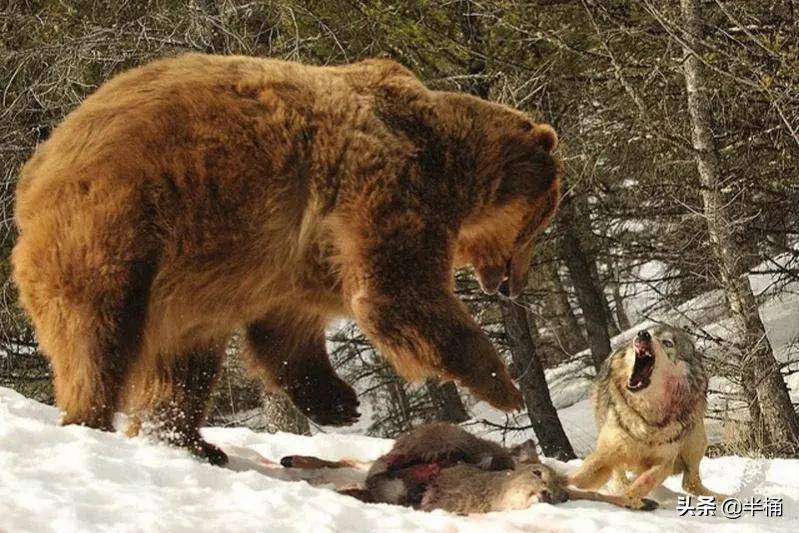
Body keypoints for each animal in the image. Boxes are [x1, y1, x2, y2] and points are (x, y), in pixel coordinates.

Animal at [12, 52, 564, 464]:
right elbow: (398, 294)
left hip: (184, 280)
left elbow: (287, 328)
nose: (511, 284)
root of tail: (33, 174)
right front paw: (504, 385)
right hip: (117, 227)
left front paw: (339, 402)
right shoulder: (385, 187)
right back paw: (93, 420)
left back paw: (190, 441)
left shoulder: (294, 258)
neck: (449, 162)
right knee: (98, 336)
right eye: (539, 222)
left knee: (184, 363)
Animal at [568, 322, 724, 510]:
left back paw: (721, 497)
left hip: (697, 441)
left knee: (690, 482)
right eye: (646, 332)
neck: (647, 417)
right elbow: (581, 477)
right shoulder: (608, 452)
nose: (643, 334)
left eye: (667, 343)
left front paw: (629, 500)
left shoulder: (664, 462)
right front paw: (562, 486)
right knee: (619, 476)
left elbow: (644, 482)